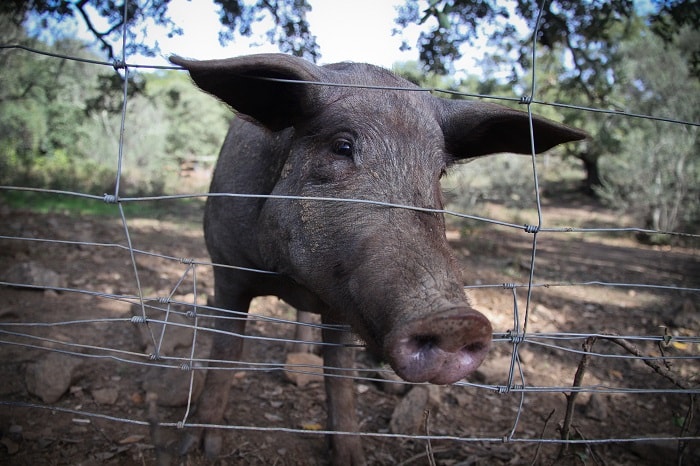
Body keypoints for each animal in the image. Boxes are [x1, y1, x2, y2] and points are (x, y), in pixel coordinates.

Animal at [170, 52, 584, 464]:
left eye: (439, 172)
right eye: (341, 147)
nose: (458, 321)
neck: (288, 276)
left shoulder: (339, 304)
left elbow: (339, 372)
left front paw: (351, 458)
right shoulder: (226, 270)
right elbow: (226, 351)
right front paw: (199, 449)